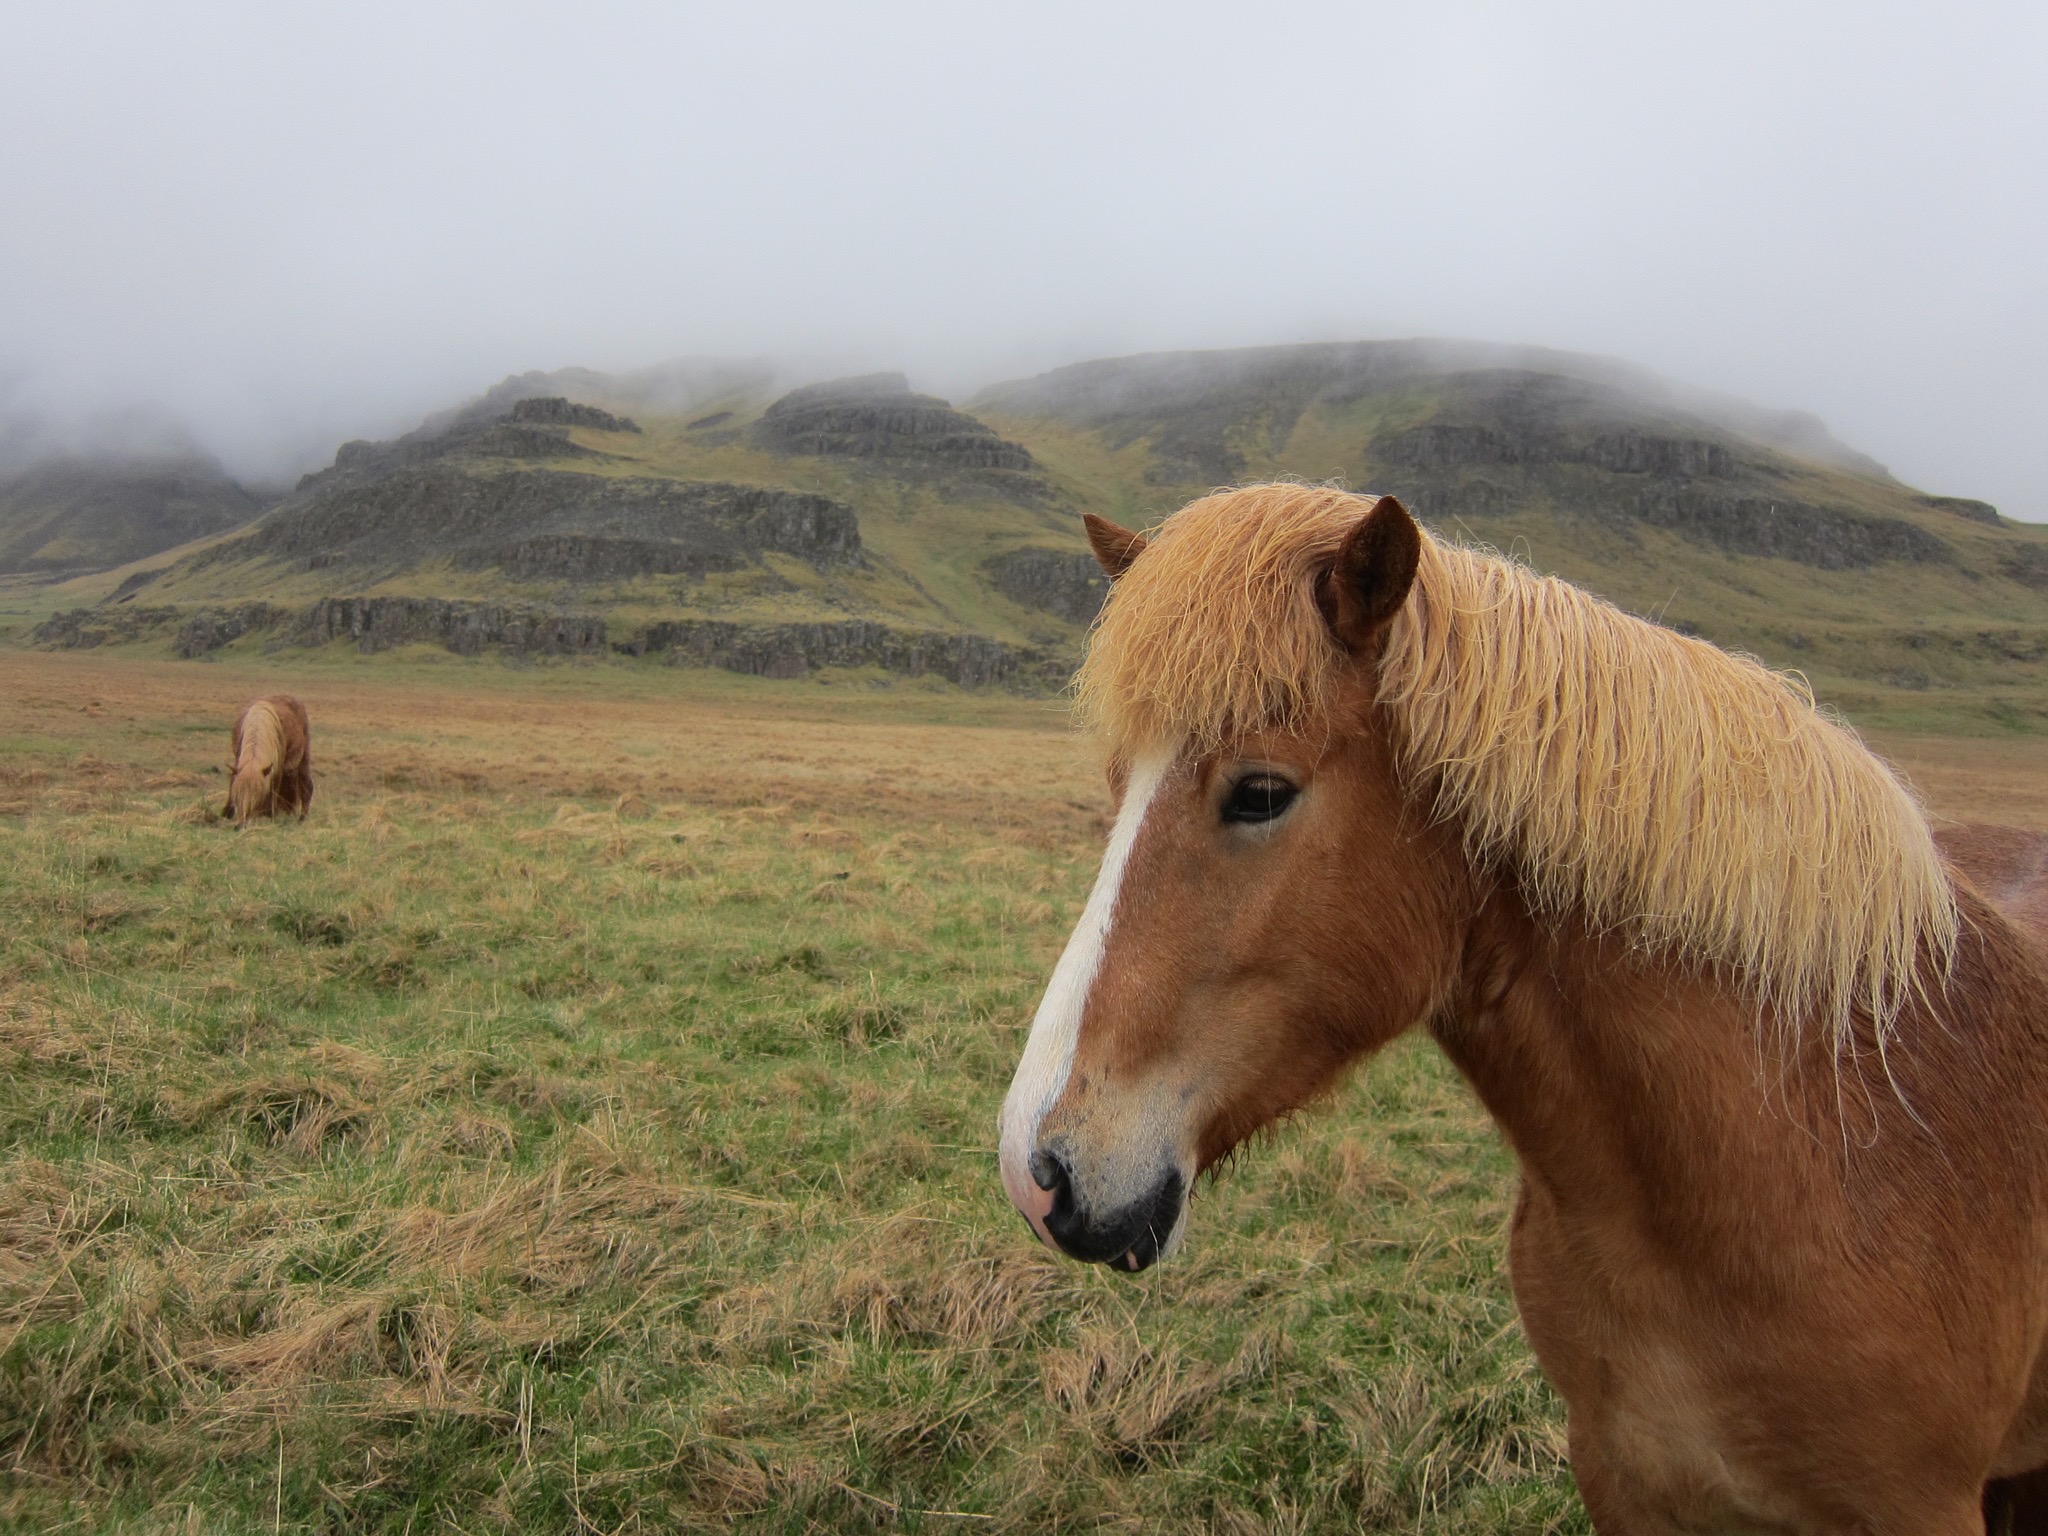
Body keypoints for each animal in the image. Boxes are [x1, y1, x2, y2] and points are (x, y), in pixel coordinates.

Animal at [225, 695, 314, 825]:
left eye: (258, 795)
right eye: (238, 795)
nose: (241, 824)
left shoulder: (277, 769)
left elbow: (274, 791)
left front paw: (271, 815)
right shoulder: (238, 761)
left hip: (302, 759)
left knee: (305, 786)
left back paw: (300, 817)